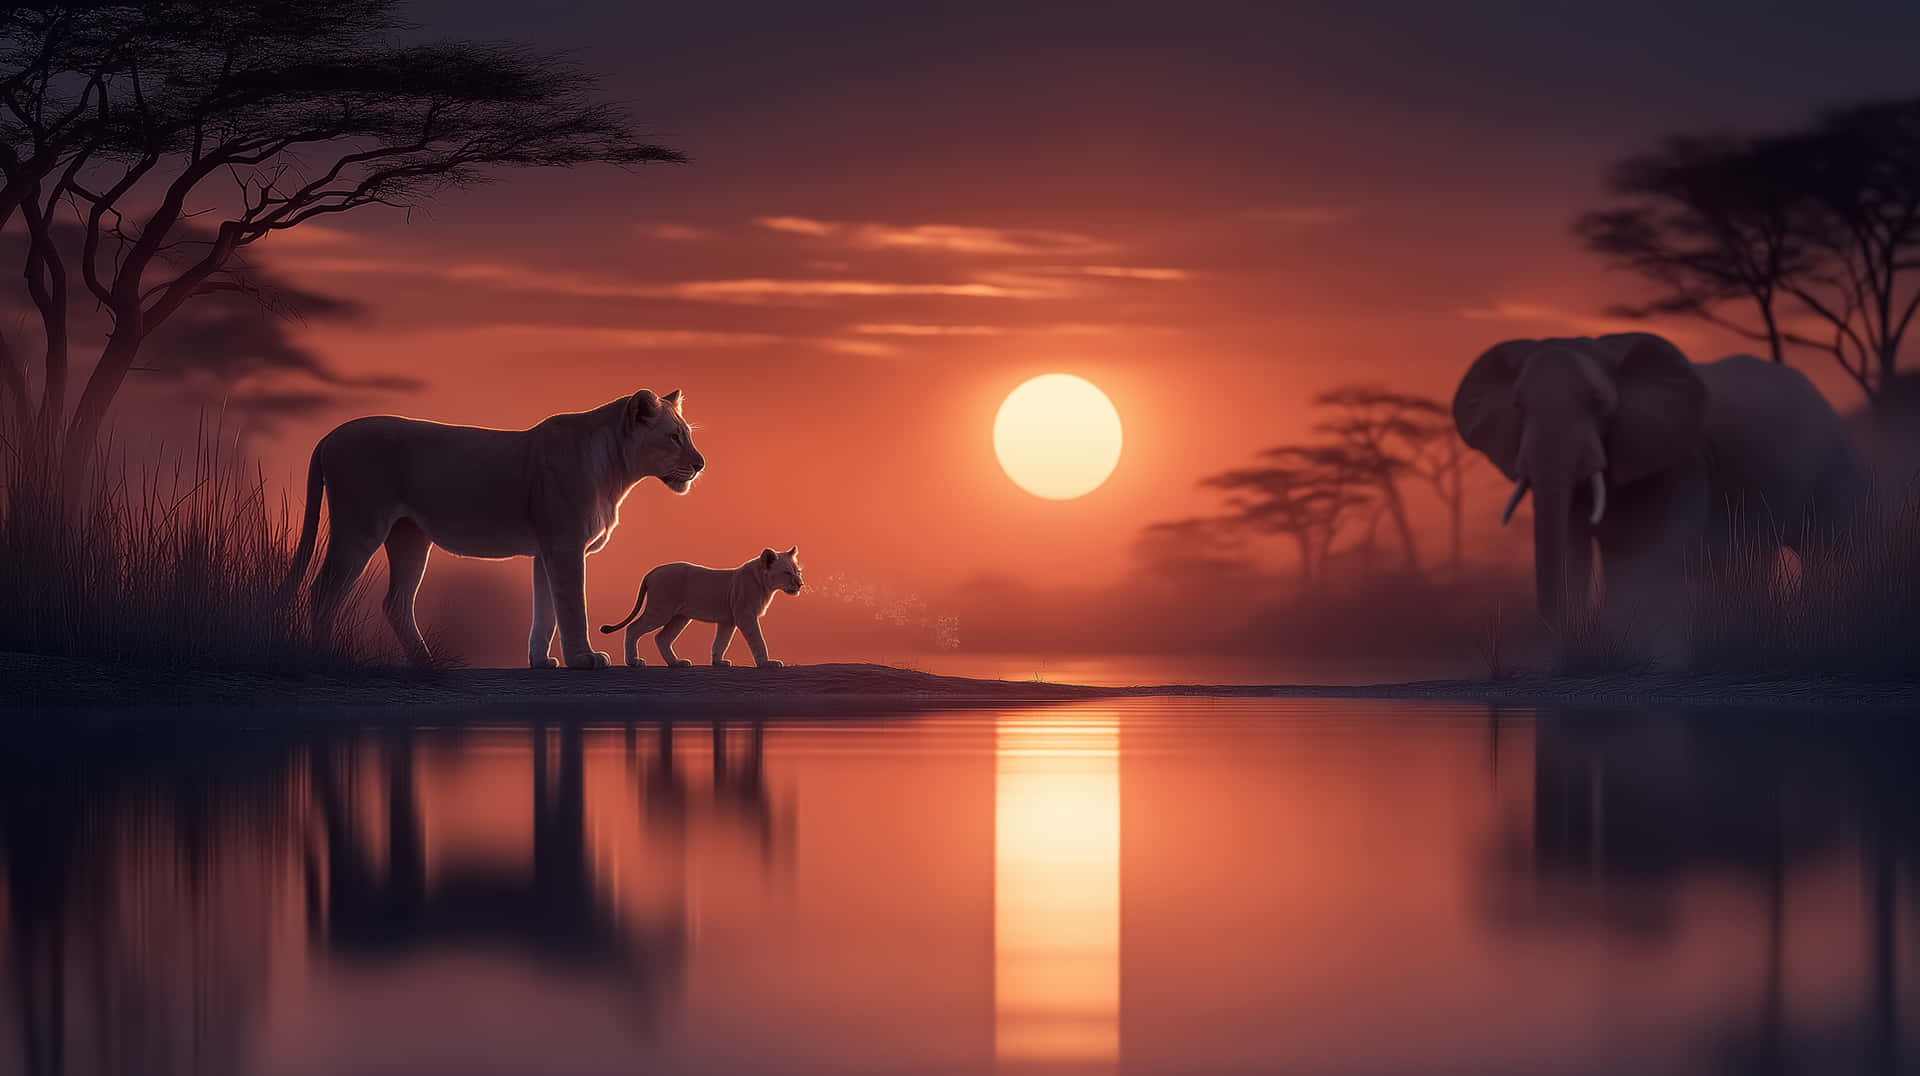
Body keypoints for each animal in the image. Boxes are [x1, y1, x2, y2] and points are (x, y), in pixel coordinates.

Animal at [1452, 332, 1865, 651]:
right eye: (1518, 405)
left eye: (1598, 403)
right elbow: (1573, 547)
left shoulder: (1680, 460)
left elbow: (1649, 555)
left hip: (1831, 464)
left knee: (1830, 549)